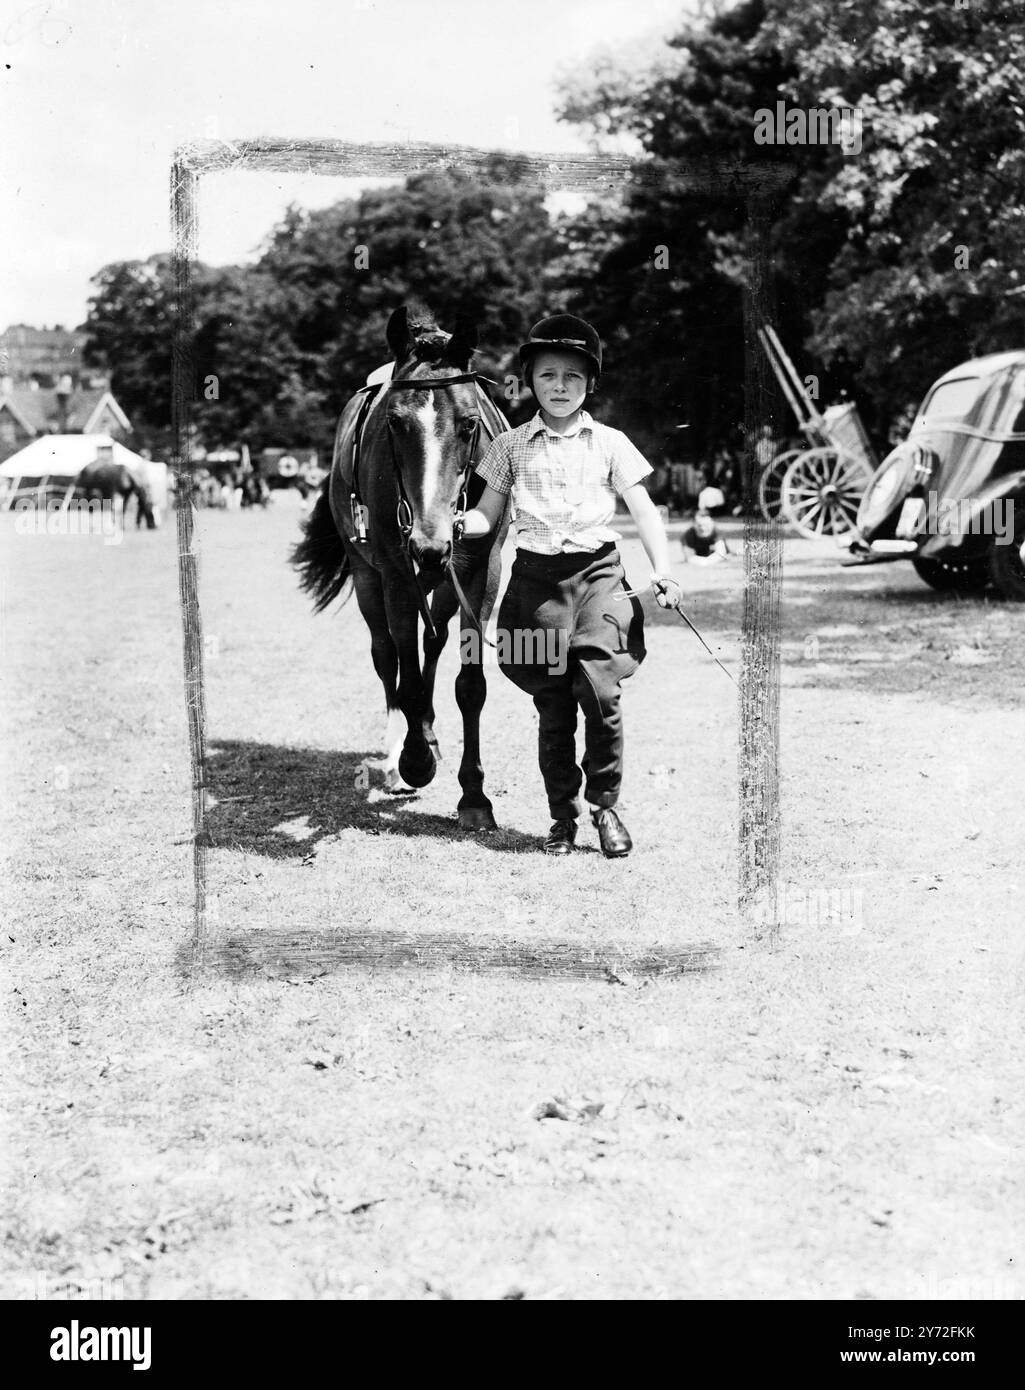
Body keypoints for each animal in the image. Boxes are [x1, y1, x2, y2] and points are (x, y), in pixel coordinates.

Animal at [289, 304, 509, 822]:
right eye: (394, 422)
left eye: (469, 424)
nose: (430, 542)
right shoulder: (395, 576)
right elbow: (403, 672)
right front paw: (413, 760)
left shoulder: (481, 574)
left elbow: (470, 684)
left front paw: (474, 794)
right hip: (370, 576)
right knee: (386, 654)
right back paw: (397, 754)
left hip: (444, 581)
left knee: (435, 639)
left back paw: (426, 728)